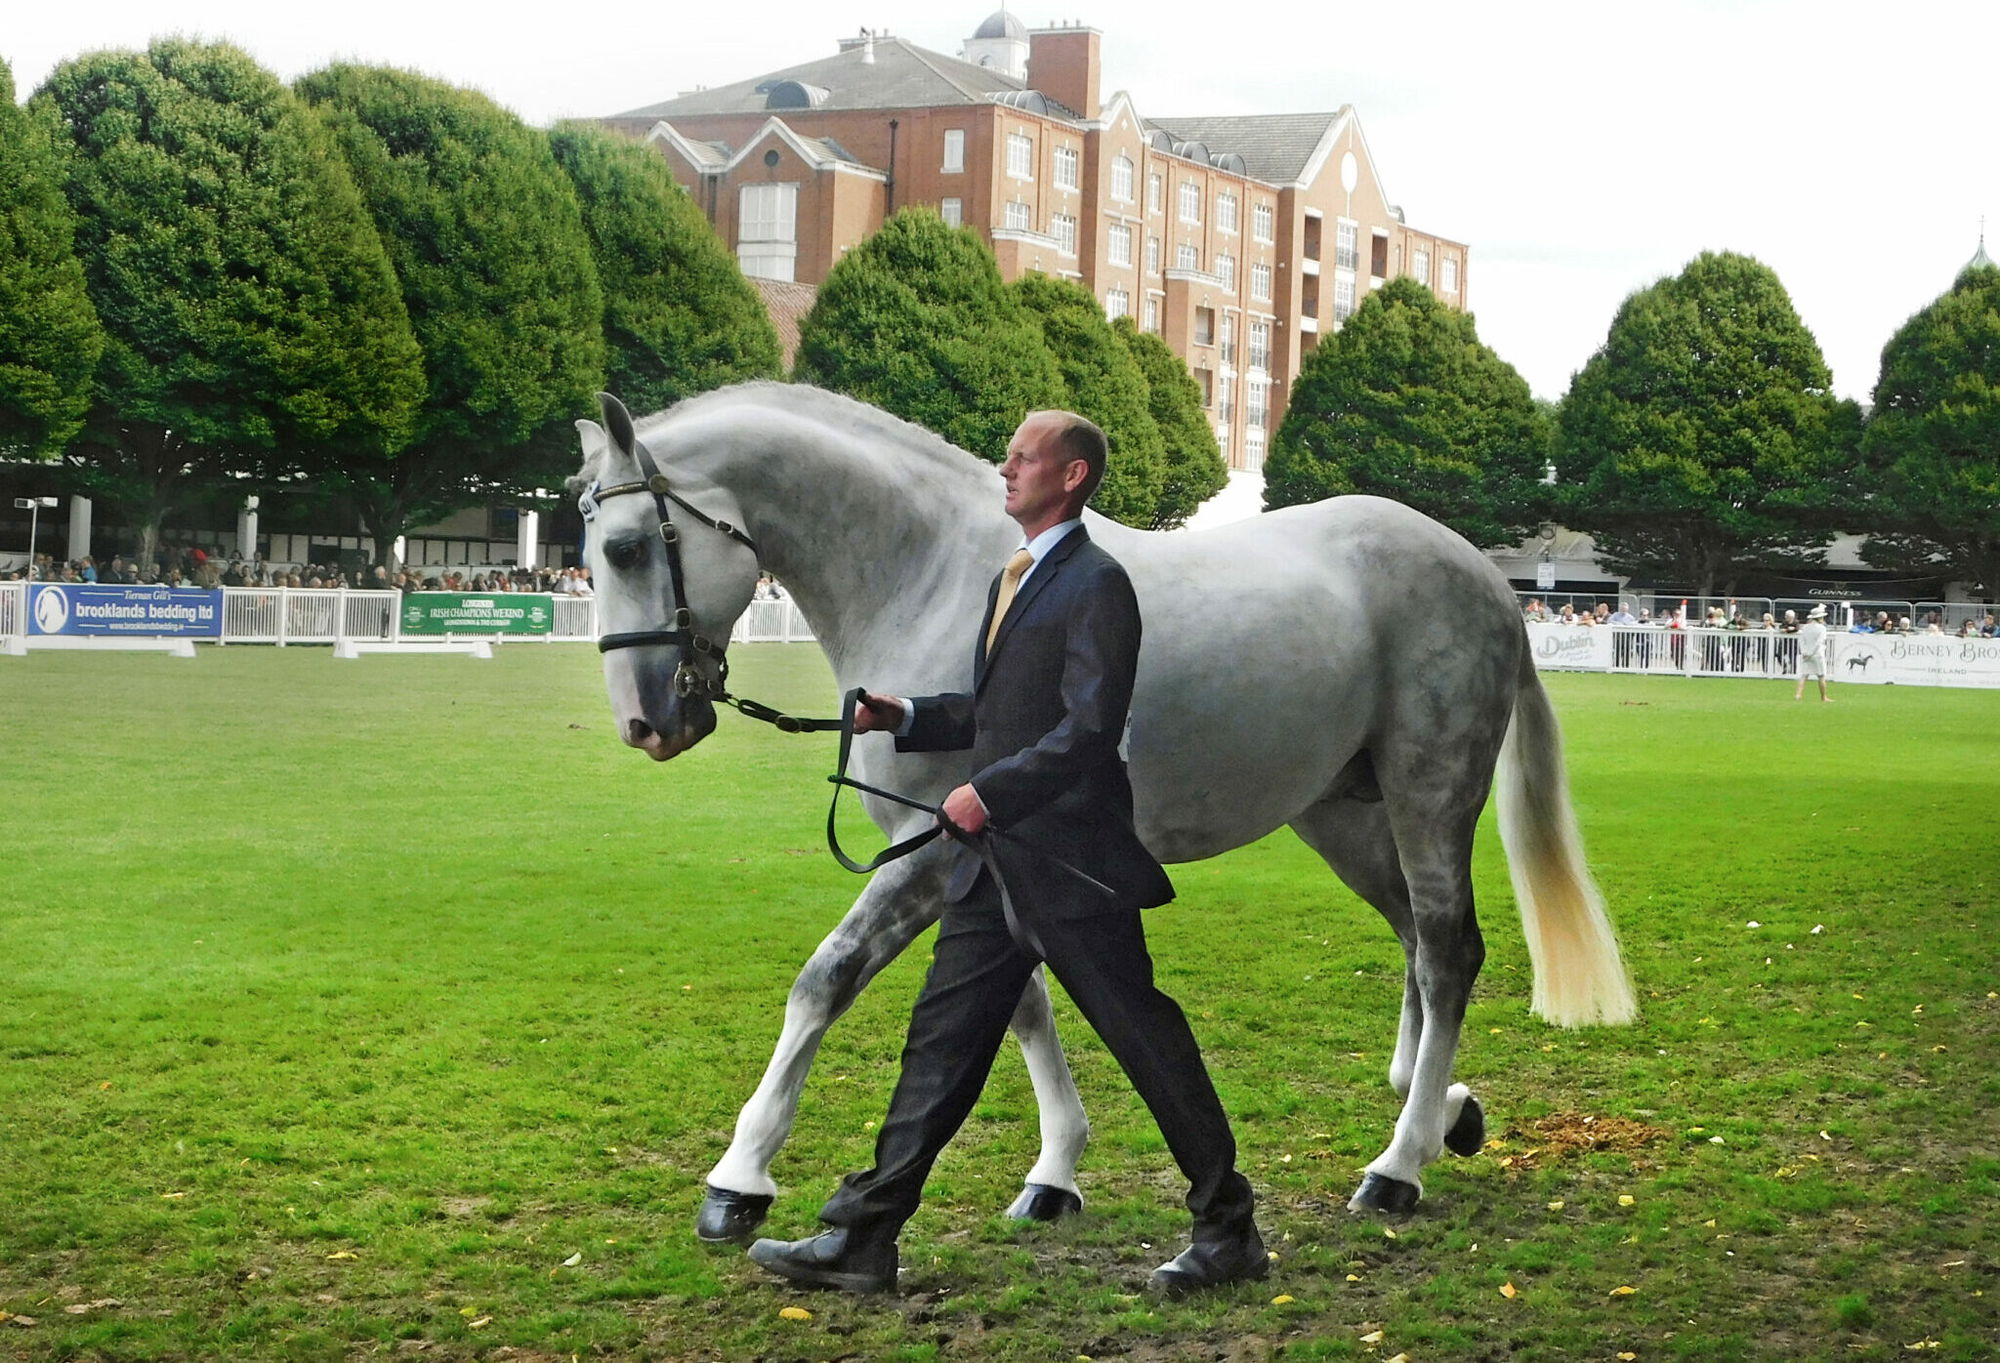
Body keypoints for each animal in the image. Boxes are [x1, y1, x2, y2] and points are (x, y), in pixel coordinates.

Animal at [569, 382, 1635, 1240]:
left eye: (625, 545)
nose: (645, 722)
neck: (935, 573)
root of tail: (1483, 575)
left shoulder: (932, 849)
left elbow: (824, 979)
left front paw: (740, 1176)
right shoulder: (977, 852)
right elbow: (1023, 1003)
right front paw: (1055, 1170)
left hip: (1429, 791)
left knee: (1448, 950)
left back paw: (1398, 1166)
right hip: (1341, 814)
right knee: (1416, 938)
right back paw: (1437, 1103)